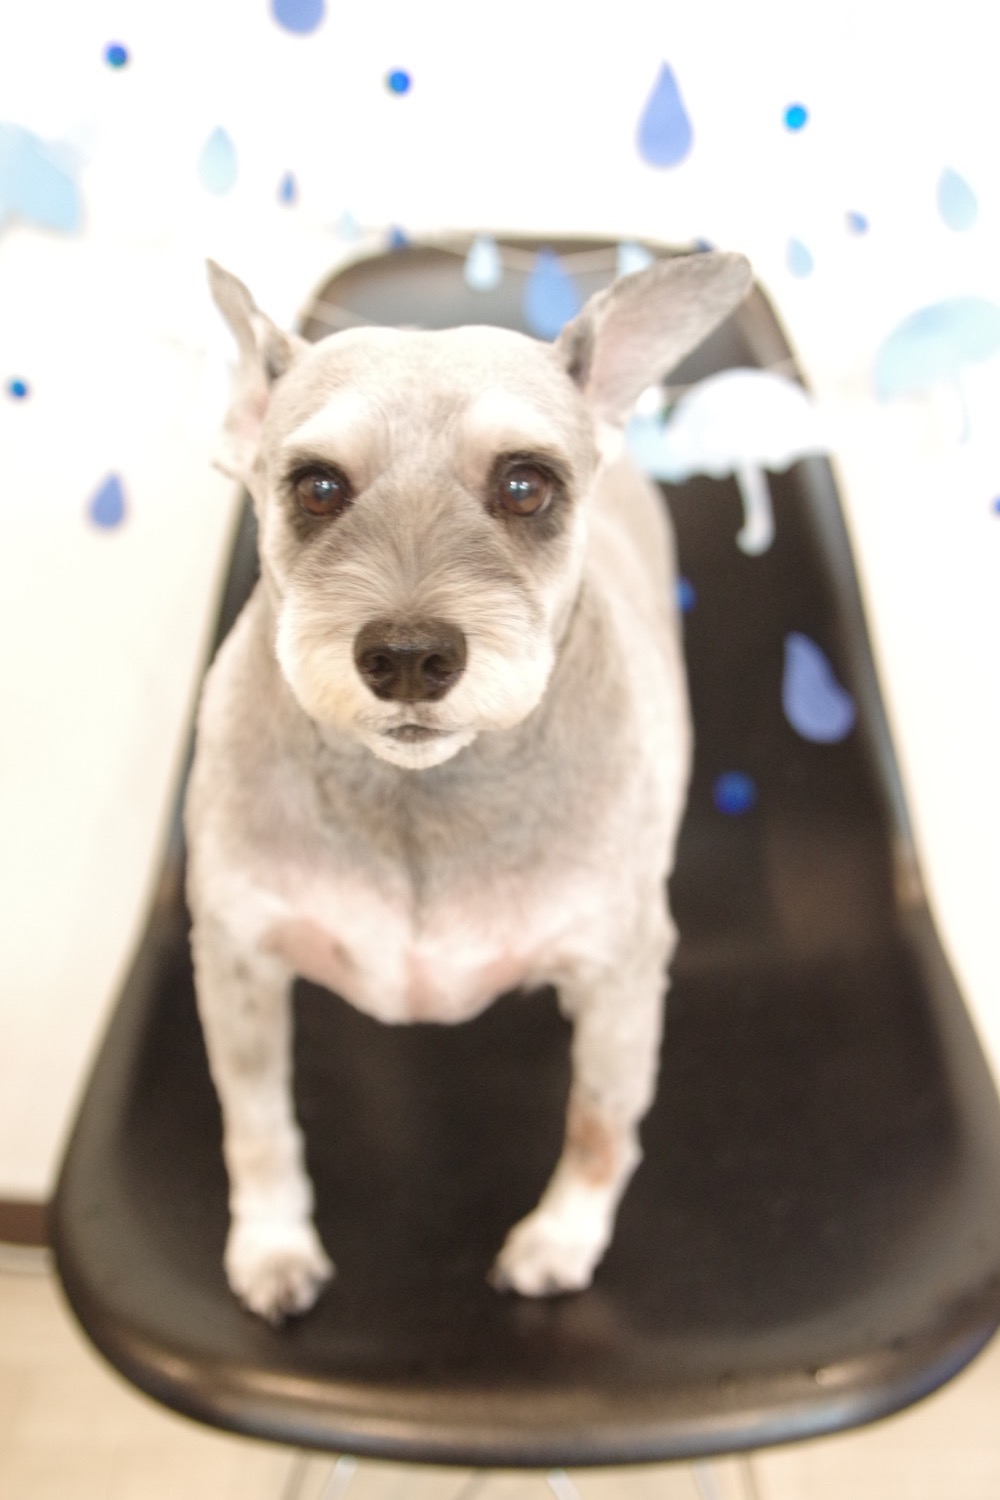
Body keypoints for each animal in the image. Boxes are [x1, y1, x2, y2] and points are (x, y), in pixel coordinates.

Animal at [185, 247, 752, 1321]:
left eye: (525, 484)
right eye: (316, 486)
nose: (408, 657)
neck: (423, 805)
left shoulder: (621, 973)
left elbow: (600, 1125)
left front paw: (560, 1240)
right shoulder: (236, 958)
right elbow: (256, 1121)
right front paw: (271, 1247)